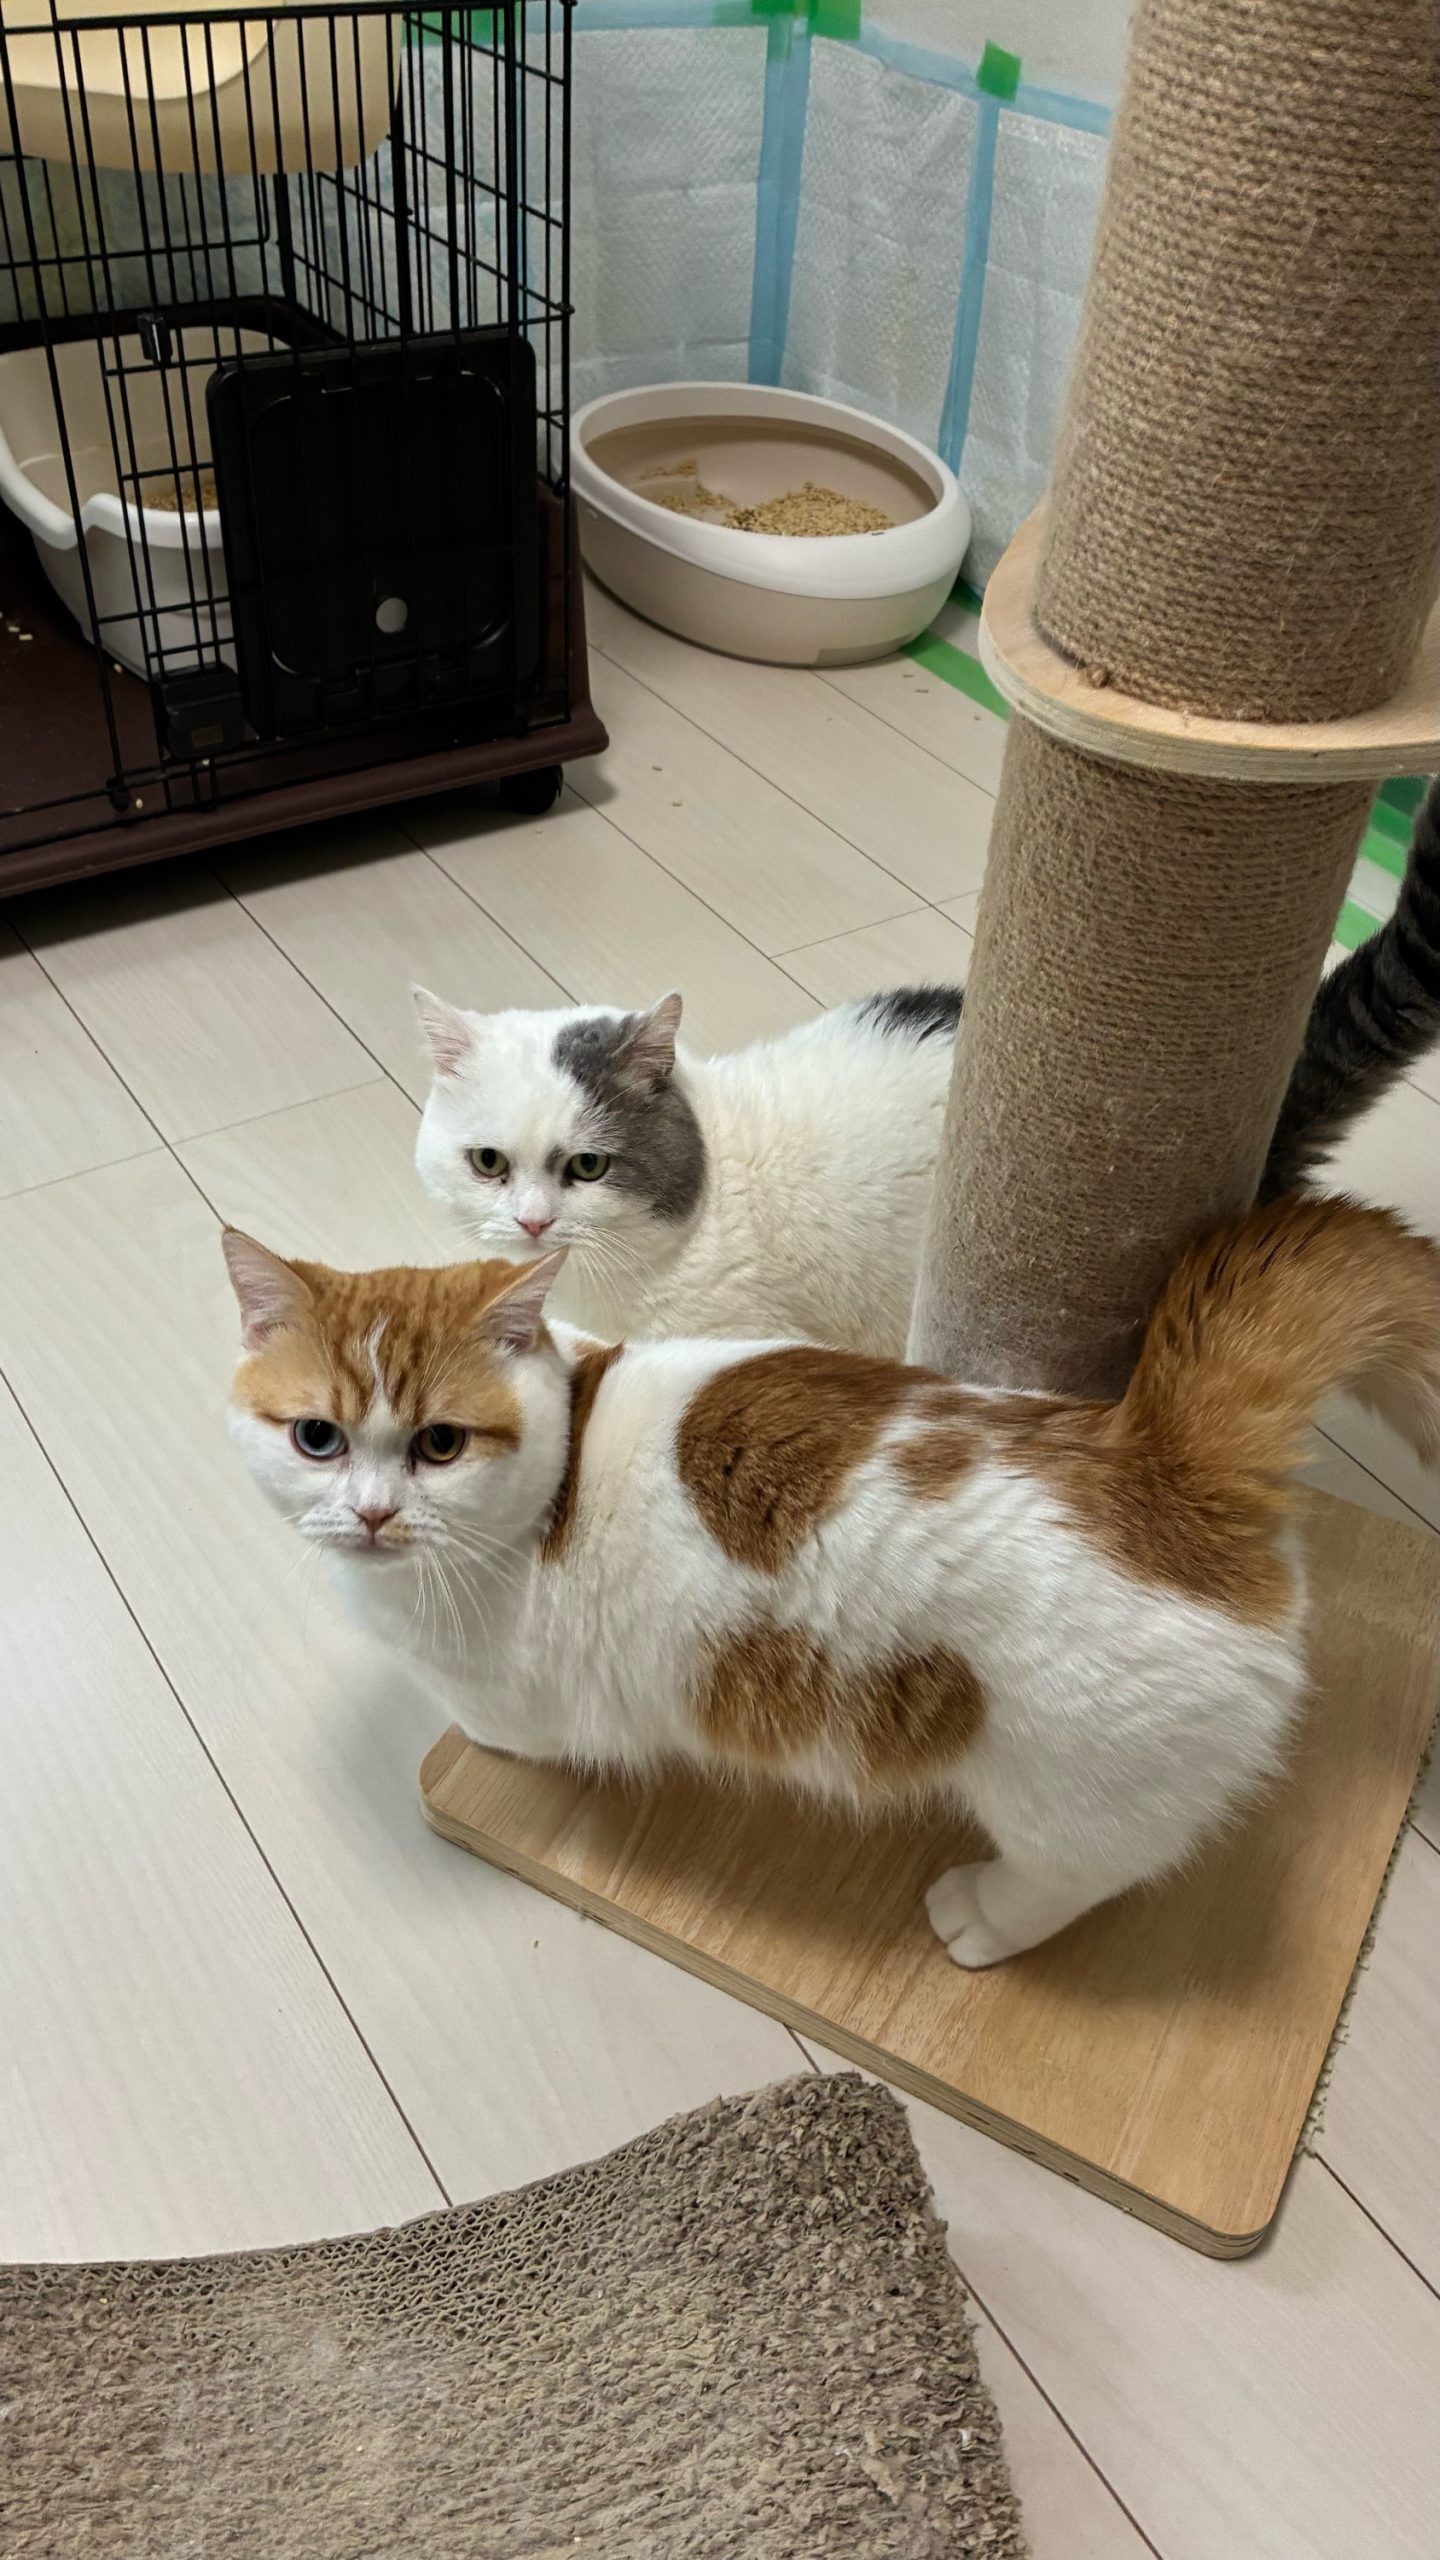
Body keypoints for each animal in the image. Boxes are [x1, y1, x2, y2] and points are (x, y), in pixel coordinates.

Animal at [222, 1193, 1437, 1969]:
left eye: (439, 1444)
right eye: (319, 1438)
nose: (373, 1514)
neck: (555, 1478)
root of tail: (1162, 1464)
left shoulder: (506, 1689)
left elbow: (502, 1729)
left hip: (1071, 1786)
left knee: (1083, 1871)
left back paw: (982, 1916)